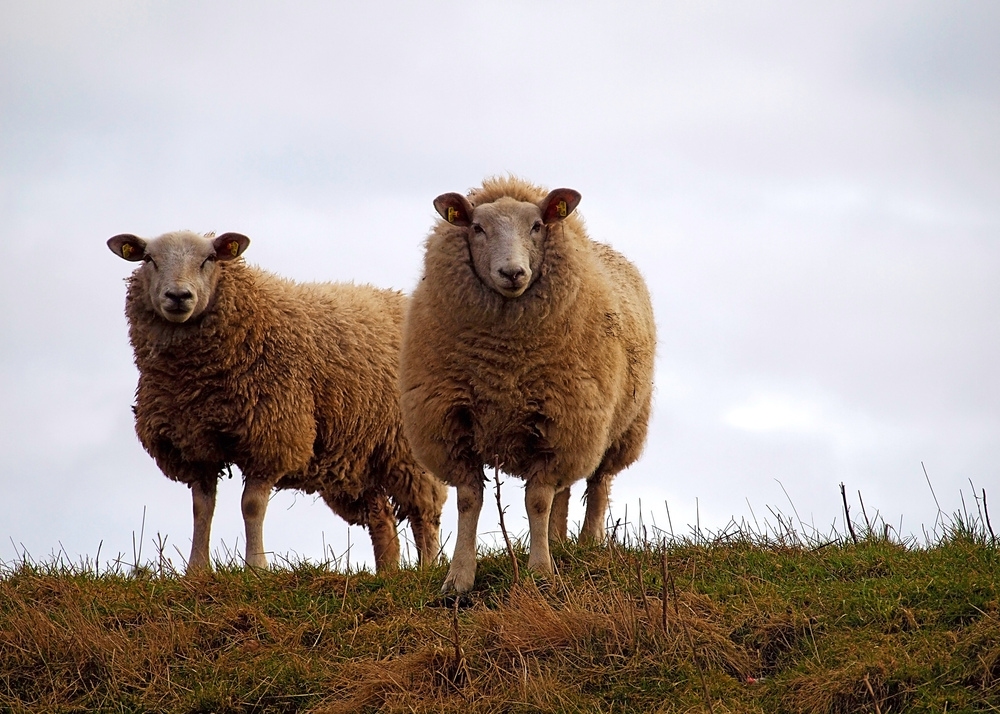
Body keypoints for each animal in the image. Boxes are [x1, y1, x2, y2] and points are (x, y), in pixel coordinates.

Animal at [106, 231, 446, 572]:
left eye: (210, 258)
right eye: (149, 259)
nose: (178, 296)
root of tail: (401, 298)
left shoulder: (271, 434)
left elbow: (252, 506)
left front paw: (256, 567)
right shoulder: (194, 444)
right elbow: (202, 508)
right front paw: (197, 570)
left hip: (407, 447)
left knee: (424, 513)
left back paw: (427, 568)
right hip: (356, 458)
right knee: (382, 518)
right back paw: (386, 573)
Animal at [398, 174, 656, 588]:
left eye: (536, 226)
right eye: (477, 227)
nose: (512, 273)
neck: (505, 363)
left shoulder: (562, 418)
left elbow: (536, 500)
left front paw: (540, 572)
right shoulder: (453, 422)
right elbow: (470, 501)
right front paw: (458, 578)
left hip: (610, 428)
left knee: (597, 484)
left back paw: (587, 542)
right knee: (563, 492)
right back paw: (559, 540)